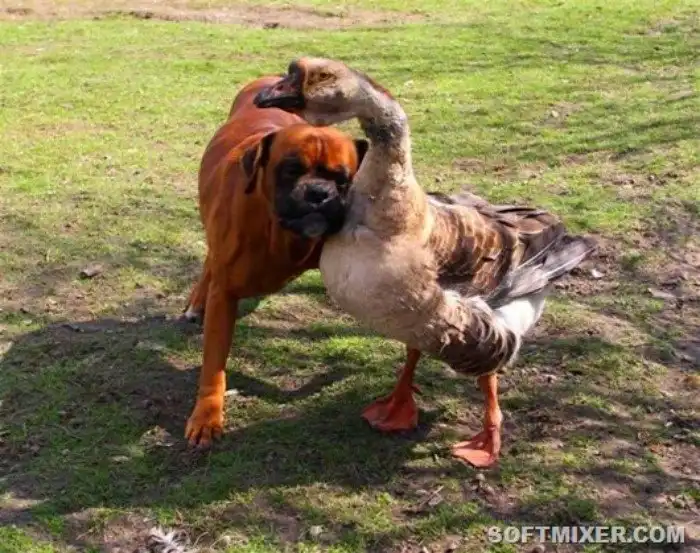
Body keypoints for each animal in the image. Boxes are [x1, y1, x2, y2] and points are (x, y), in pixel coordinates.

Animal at [184, 76, 369, 448]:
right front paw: (207, 416)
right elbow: (213, 364)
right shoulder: (224, 297)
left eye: (342, 179)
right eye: (291, 170)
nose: (318, 193)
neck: (280, 235)